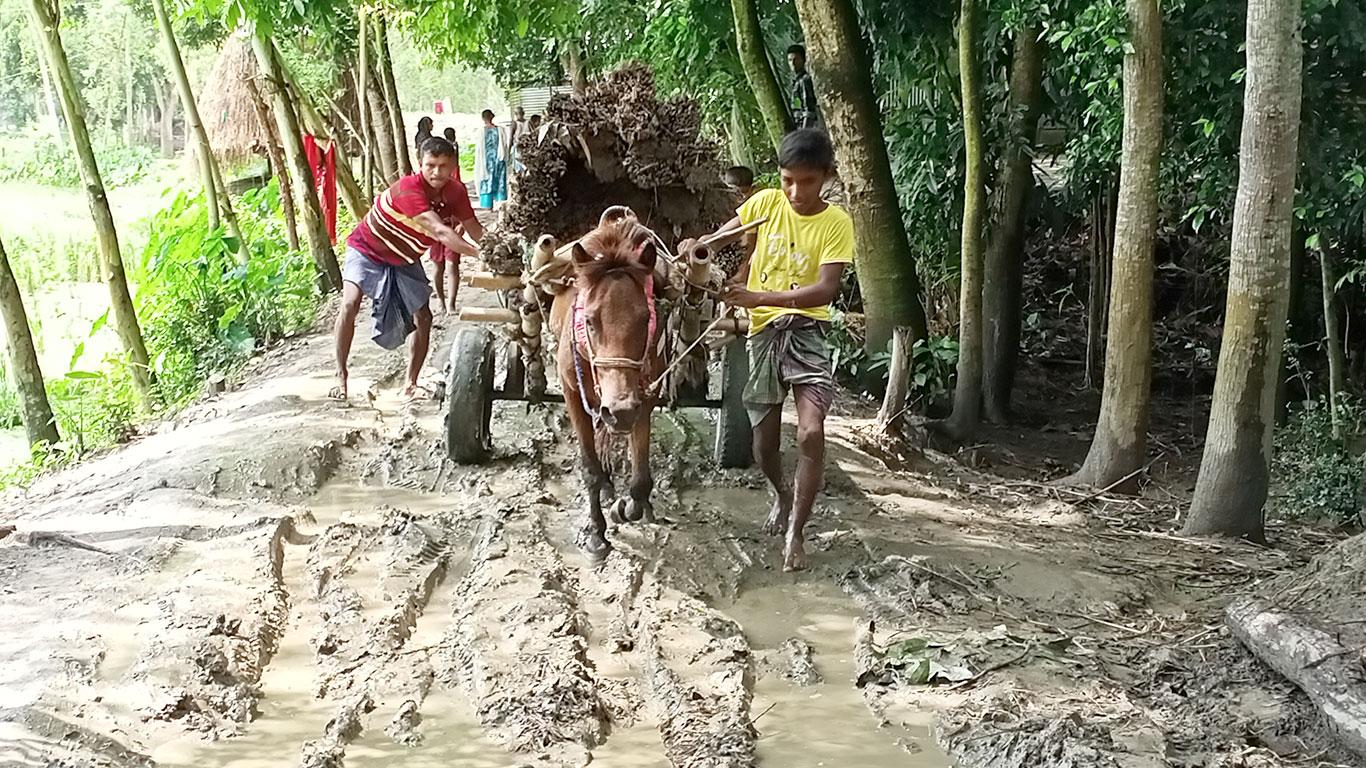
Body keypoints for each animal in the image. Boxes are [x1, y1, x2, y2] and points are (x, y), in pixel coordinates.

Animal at [551, 211, 663, 560]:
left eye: (646, 319)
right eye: (589, 320)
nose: (620, 409)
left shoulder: (644, 398)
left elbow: (640, 479)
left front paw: (628, 506)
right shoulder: (572, 393)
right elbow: (589, 468)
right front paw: (596, 534)